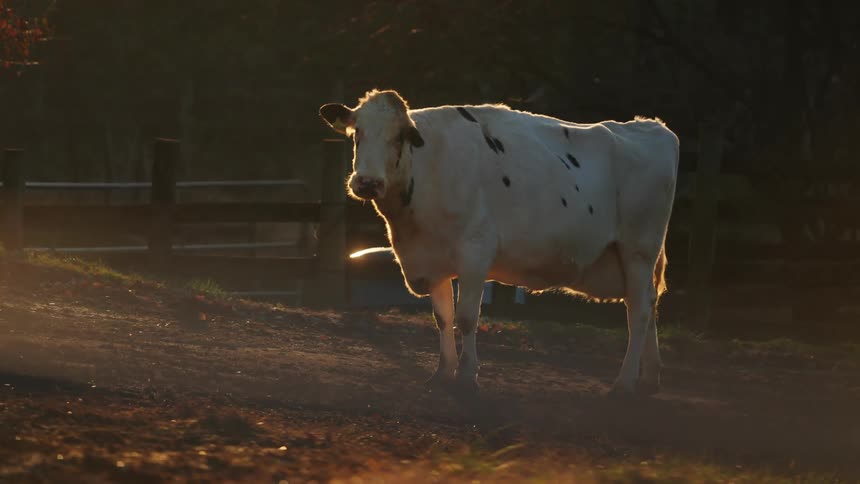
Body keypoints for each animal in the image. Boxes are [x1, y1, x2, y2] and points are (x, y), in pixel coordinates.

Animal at [319, 89, 678, 397]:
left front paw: (466, 377)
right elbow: (442, 317)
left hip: (638, 249)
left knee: (639, 311)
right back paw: (650, 378)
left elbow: (466, 317)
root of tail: (650, 126)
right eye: (357, 133)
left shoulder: (475, 252)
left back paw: (623, 384)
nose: (367, 182)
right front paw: (442, 374)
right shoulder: (433, 261)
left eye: (399, 137)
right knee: (648, 303)